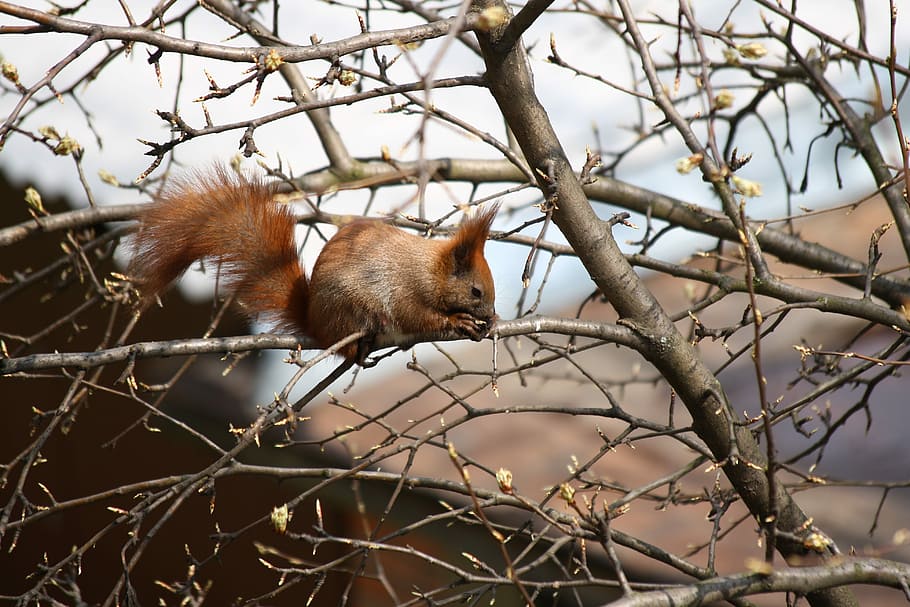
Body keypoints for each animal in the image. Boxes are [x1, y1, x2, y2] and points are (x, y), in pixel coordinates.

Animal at [129, 165, 498, 362]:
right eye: (476, 292)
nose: (492, 315)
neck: (430, 270)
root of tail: (314, 323)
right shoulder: (405, 291)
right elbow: (417, 317)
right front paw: (459, 321)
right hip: (348, 308)